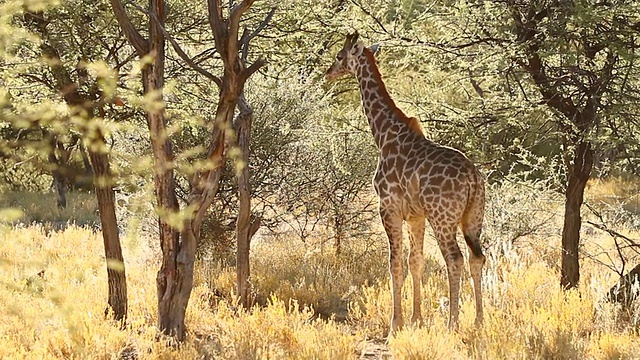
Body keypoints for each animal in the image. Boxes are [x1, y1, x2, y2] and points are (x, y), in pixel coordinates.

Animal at [328, 32, 488, 336]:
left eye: (339, 56)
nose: (329, 72)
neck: (384, 135)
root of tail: (473, 179)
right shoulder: (416, 216)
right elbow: (416, 262)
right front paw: (417, 319)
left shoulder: (389, 208)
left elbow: (395, 264)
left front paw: (396, 325)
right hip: (473, 217)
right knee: (477, 257)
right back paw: (477, 321)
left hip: (443, 218)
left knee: (455, 258)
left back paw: (453, 324)